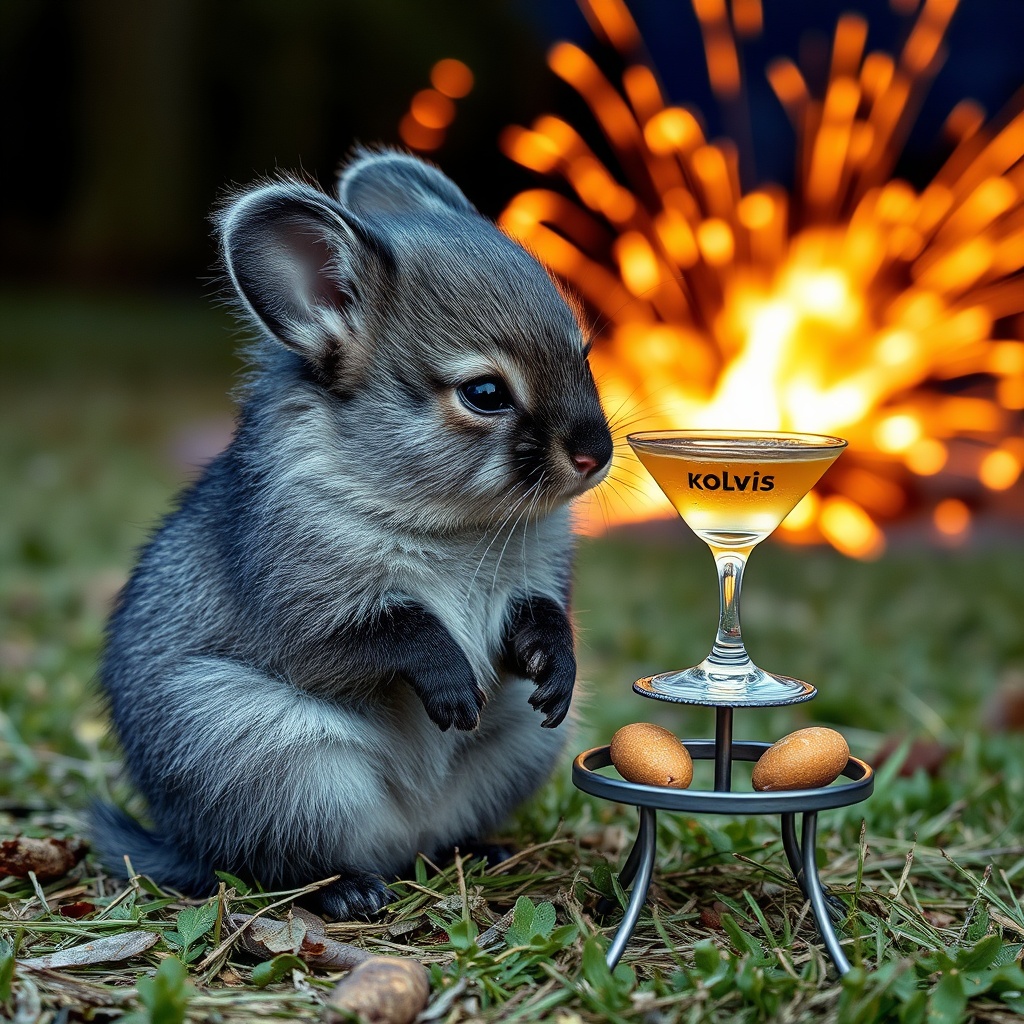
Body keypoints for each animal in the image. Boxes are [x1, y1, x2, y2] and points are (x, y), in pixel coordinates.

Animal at [91, 148, 613, 919]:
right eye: (484, 393)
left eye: (584, 350)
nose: (595, 455)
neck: (451, 519)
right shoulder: (306, 613)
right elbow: (387, 638)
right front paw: (450, 685)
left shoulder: (536, 583)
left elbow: (540, 622)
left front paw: (557, 668)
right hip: (268, 759)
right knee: (284, 865)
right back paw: (348, 890)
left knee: (430, 841)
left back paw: (471, 852)